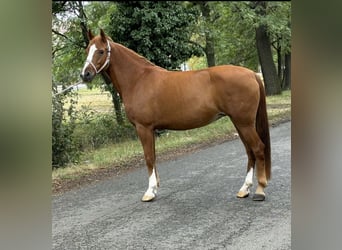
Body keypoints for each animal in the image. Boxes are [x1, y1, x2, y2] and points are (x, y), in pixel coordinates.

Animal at [80, 29, 270, 201]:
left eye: (101, 51)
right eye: (87, 50)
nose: (85, 74)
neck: (138, 79)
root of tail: (252, 74)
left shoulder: (143, 128)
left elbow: (148, 157)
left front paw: (149, 192)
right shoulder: (151, 130)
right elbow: (153, 157)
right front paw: (155, 188)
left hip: (244, 123)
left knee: (258, 148)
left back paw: (260, 191)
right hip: (240, 123)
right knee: (249, 151)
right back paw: (244, 189)